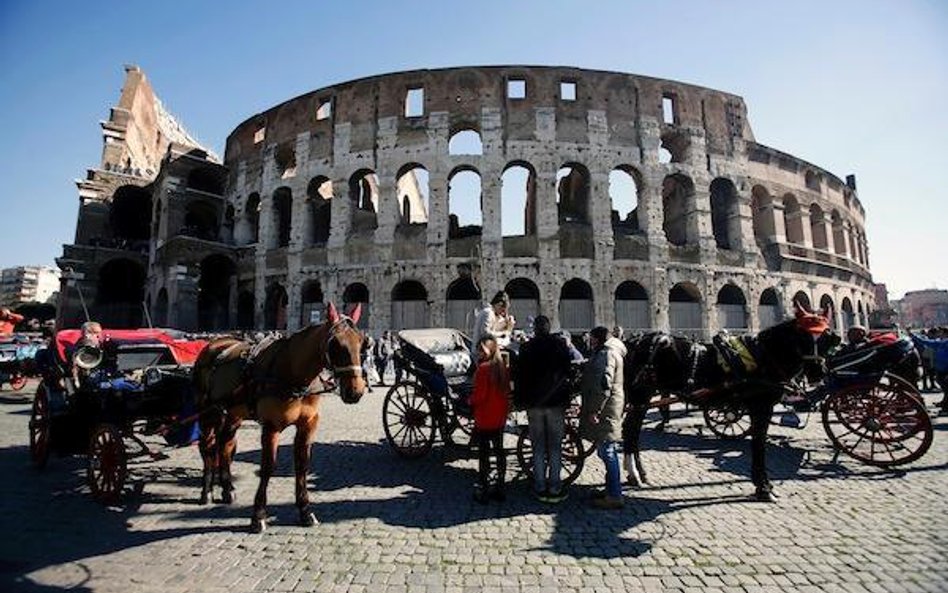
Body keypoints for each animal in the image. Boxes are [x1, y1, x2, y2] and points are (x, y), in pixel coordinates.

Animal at [193, 302, 366, 528]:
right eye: (335, 345)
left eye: (362, 343)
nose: (355, 391)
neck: (293, 373)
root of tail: (215, 343)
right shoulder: (271, 426)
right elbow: (268, 467)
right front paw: (258, 516)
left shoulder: (308, 423)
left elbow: (302, 464)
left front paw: (305, 511)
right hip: (207, 411)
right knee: (208, 446)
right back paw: (206, 492)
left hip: (233, 413)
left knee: (225, 444)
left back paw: (227, 488)